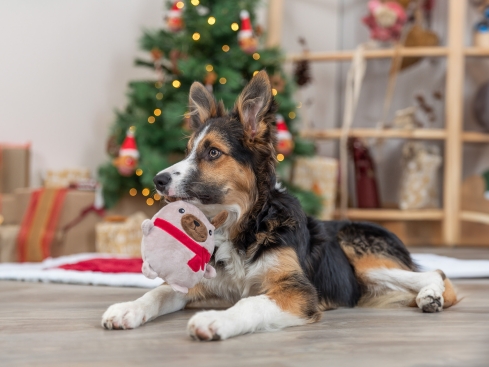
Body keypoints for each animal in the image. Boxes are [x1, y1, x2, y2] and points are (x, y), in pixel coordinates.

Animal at [100, 71, 458, 342]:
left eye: (213, 152)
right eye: (188, 151)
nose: (157, 180)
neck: (241, 224)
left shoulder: (297, 291)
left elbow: (250, 304)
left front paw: (214, 320)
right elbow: (157, 292)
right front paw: (127, 309)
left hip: (360, 255)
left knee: (436, 272)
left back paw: (431, 296)